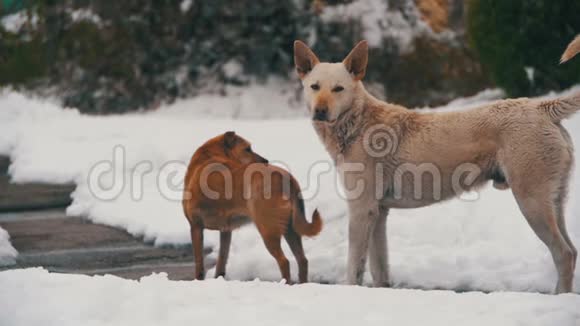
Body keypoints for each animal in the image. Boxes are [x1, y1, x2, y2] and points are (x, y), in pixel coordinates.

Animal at [182, 131, 322, 284]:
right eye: (247, 149)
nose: (266, 160)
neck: (209, 156)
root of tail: (285, 177)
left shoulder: (195, 226)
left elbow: (199, 264)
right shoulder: (225, 231)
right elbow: (222, 261)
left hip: (268, 229)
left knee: (284, 261)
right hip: (291, 229)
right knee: (302, 260)